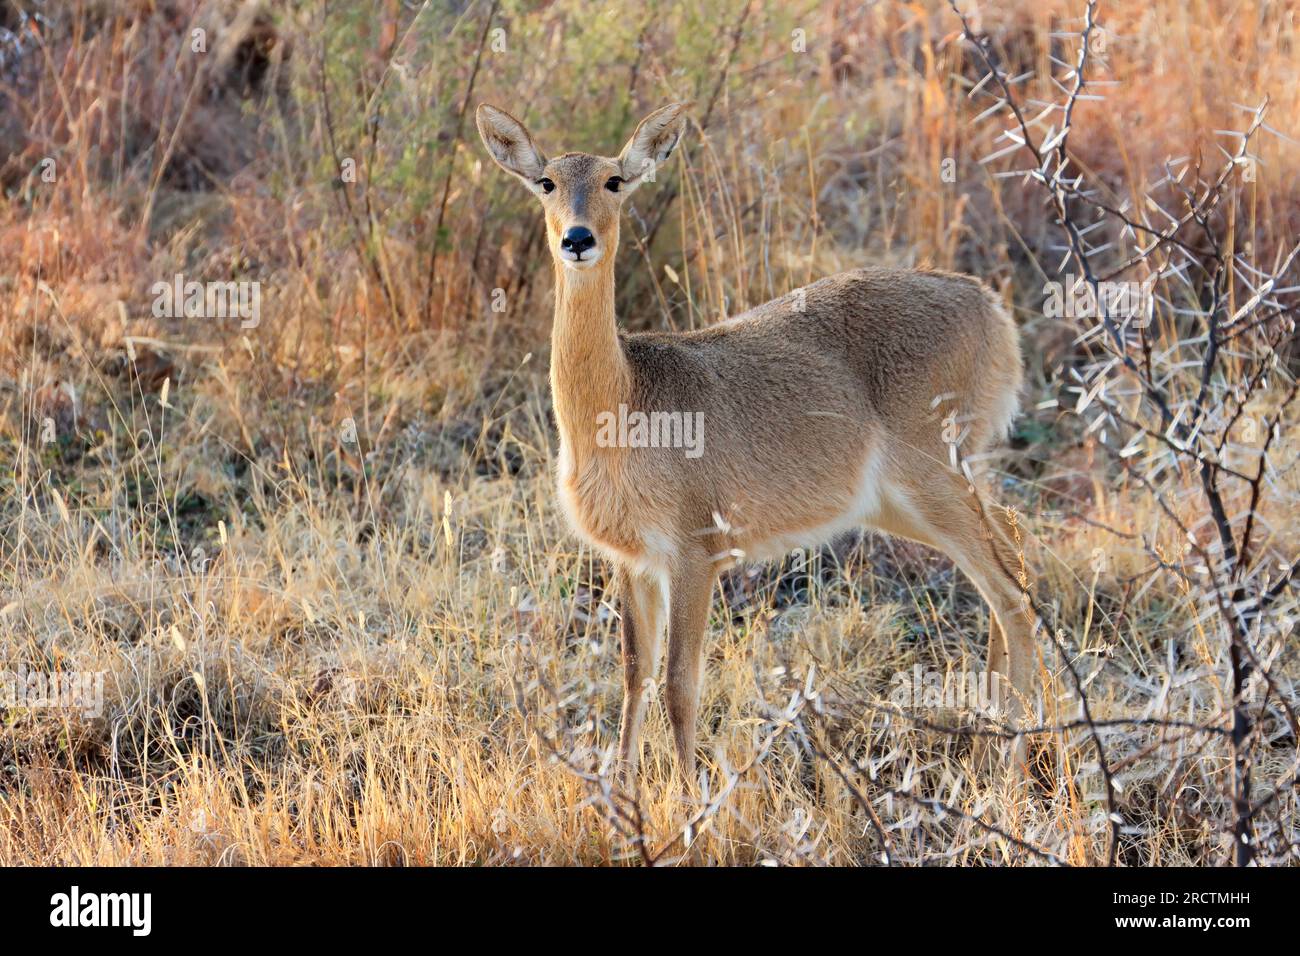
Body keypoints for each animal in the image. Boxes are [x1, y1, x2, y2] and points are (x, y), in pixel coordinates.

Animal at [478, 100, 1034, 780]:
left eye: (613, 180)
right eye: (547, 182)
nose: (577, 239)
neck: (624, 401)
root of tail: (988, 304)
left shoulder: (696, 554)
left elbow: (679, 684)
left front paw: (689, 799)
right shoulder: (630, 559)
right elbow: (634, 675)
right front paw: (624, 788)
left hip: (935, 480)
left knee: (1012, 592)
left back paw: (1014, 759)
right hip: (909, 501)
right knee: (1012, 551)